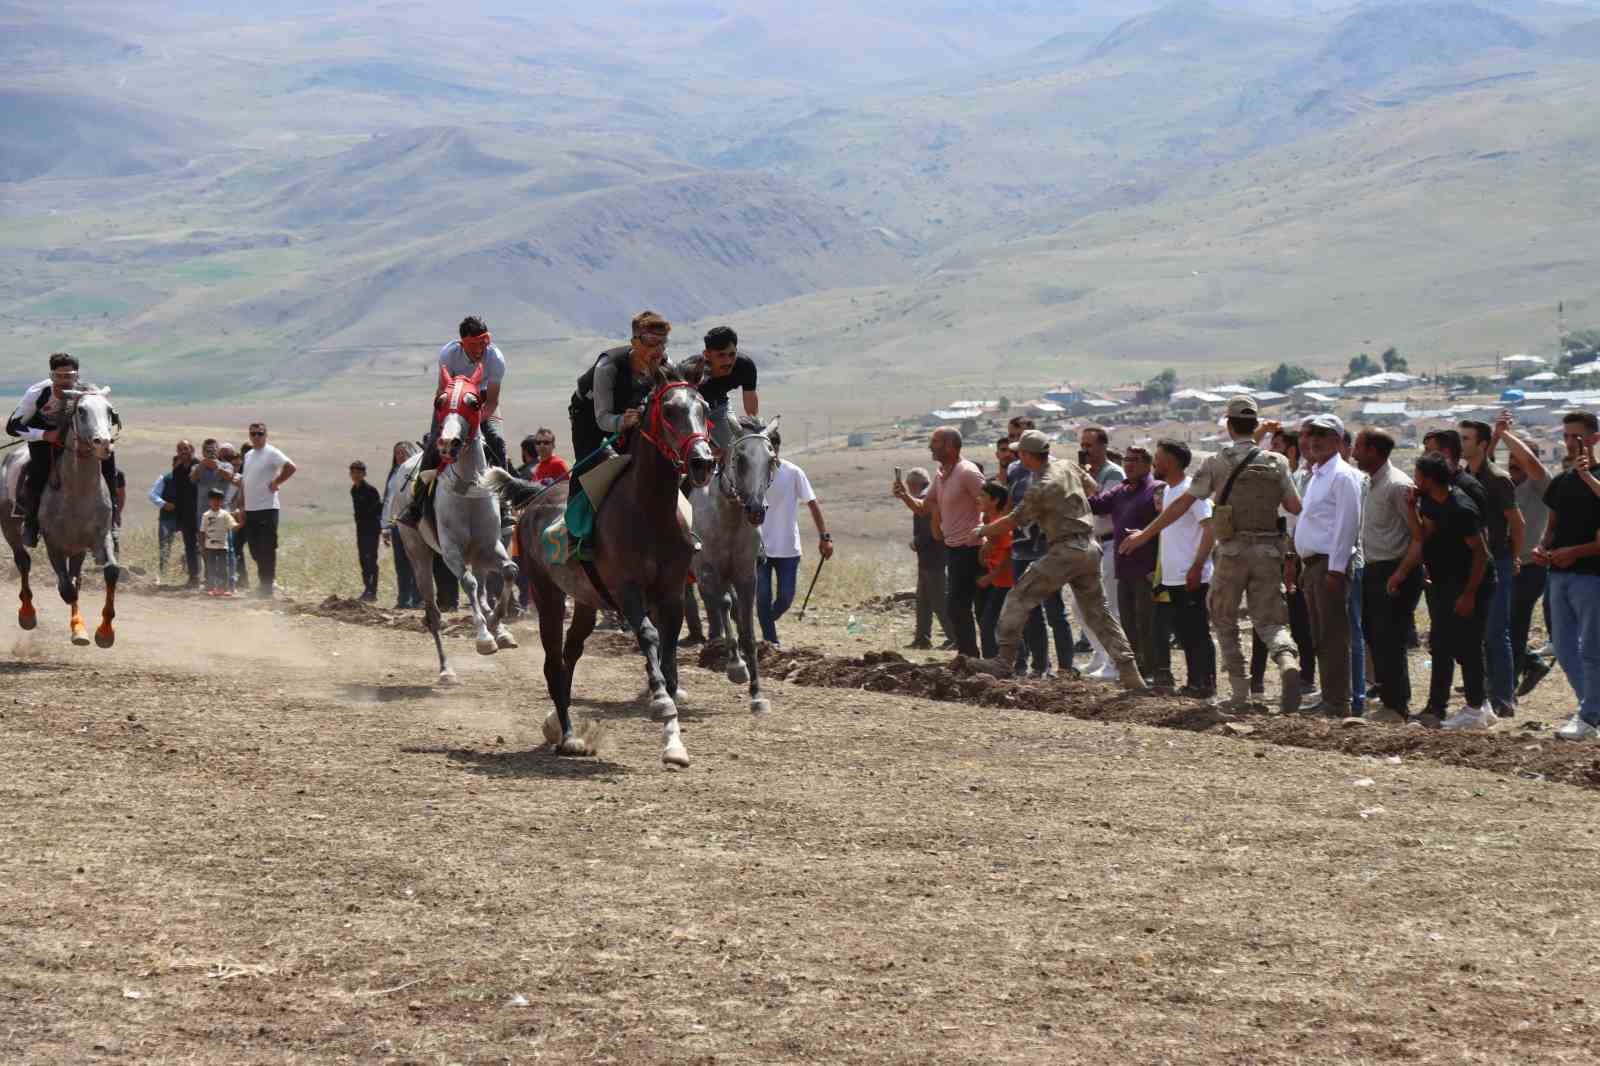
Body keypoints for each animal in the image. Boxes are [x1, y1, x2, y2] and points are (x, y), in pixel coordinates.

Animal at [0, 385, 119, 643]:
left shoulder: (99, 536)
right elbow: (67, 589)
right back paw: (27, 614)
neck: (79, 492)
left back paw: (78, 630)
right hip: (9, 527)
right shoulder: (53, 542)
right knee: (23, 561)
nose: (103, 443)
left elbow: (109, 572)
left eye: (109, 411)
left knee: (75, 575)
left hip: (77, 547)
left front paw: (103, 632)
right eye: (81, 410)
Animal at [395, 364, 515, 681]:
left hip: (478, 554)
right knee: (433, 612)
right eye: (440, 401)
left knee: (486, 587)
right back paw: (446, 669)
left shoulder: (491, 545)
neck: (468, 489)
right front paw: (484, 639)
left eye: (474, 401)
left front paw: (496, 626)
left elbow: (510, 571)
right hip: (418, 554)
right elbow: (469, 583)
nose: (448, 442)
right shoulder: (451, 551)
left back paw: (498, 628)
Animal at [486, 371, 713, 765]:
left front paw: (674, 743)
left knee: (570, 653)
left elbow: (669, 662)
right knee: (553, 661)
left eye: (704, 408)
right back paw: (568, 735)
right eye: (670, 410)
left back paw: (560, 725)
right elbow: (649, 637)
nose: (702, 462)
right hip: (547, 593)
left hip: (586, 601)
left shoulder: (671, 595)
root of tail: (535, 498)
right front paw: (660, 701)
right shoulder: (627, 590)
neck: (650, 512)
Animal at [688, 409, 780, 710]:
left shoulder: (746, 576)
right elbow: (725, 604)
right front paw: (736, 668)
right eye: (740, 460)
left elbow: (747, 629)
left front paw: (757, 693)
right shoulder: (708, 573)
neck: (727, 516)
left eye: (771, 460)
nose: (756, 510)